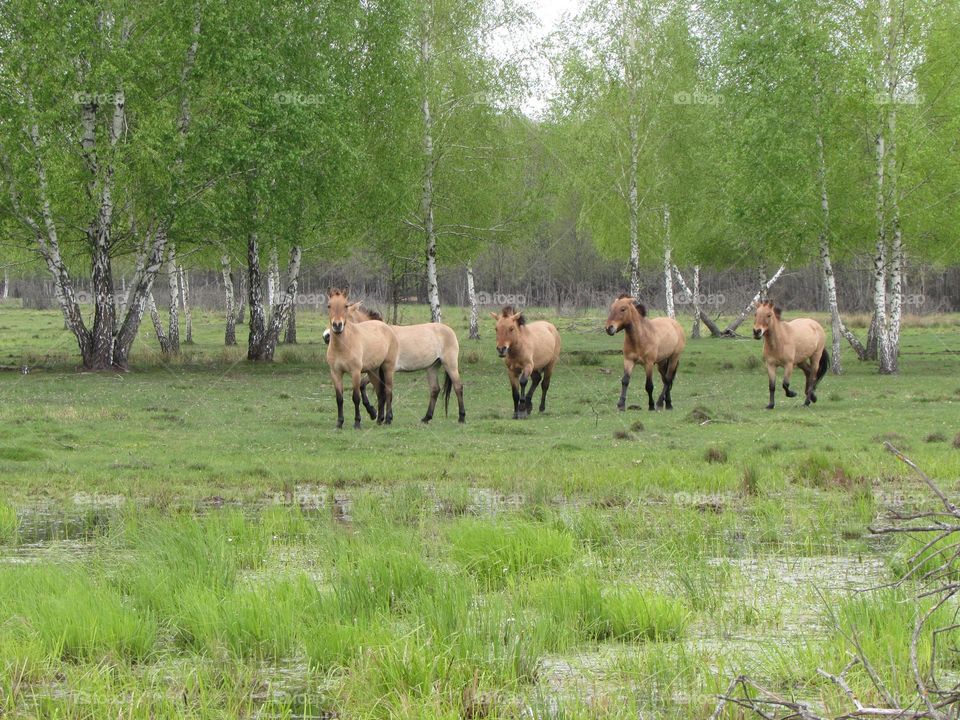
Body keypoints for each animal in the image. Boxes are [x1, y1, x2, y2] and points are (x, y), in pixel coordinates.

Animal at [323, 306, 466, 423]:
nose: (326, 336)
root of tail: (449, 330)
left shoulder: (384, 369)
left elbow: (382, 390)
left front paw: (381, 415)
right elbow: (365, 386)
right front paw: (374, 413)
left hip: (450, 364)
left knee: (458, 387)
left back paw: (461, 417)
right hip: (432, 367)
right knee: (435, 390)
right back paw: (426, 418)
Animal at [325, 288, 398, 429]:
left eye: (345, 306)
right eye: (329, 306)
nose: (337, 326)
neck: (343, 346)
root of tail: (387, 328)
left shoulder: (356, 372)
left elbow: (356, 397)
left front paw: (357, 423)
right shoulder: (335, 373)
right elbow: (339, 398)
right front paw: (339, 423)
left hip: (387, 369)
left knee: (388, 391)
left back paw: (387, 419)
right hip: (373, 372)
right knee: (380, 393)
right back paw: (379, 419)